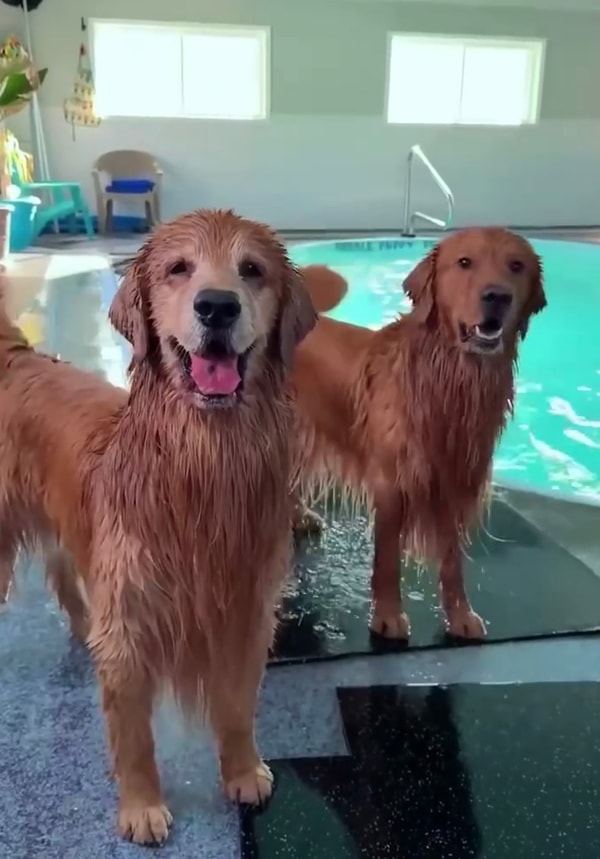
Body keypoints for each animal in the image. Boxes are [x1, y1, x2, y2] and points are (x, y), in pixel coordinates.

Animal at [0, 208, 318, 848]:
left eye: (253, 270)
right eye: (178, 269)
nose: (217, 306)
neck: (204, 465)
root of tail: (19, 357)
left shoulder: (245, 614)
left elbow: (237, 708)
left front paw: (243, 772)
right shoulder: (128, 631)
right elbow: (134, 737)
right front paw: (142, 807)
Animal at [290, 230, 548, 644]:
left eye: (516, 265)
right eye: (464, 262)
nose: (497, 296)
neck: (450, 377)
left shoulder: (456, 480)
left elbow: (452, 561)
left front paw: (460, 615)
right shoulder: (391, 482)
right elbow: (388, 560)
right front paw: (388, 616)